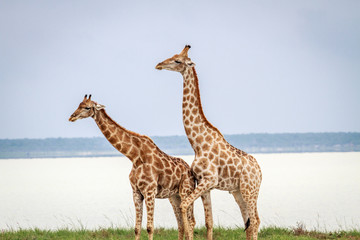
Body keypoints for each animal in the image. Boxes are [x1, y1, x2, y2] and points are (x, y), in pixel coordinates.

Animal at [68, 94, 195, 239]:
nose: (72, 117)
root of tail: (191, 172)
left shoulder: (149, 191)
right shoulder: (136, 192)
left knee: (191, 222)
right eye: (79, 104)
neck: (134, 157)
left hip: (185, 191)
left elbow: (150, 227)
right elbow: (137, 228)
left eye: (87, 107)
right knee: (181, 223)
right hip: (174, 196)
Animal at [156, 46, 262, 239]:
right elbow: (209, 222)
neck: (197, 143)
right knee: (249, 222)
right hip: (238, 191)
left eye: (178, 60)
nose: (159, 64)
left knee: (256, 221)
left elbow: (185, 207)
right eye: (173, 56)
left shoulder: (209, 180)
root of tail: (260, 171)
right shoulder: (205, 185)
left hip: (250, 189)